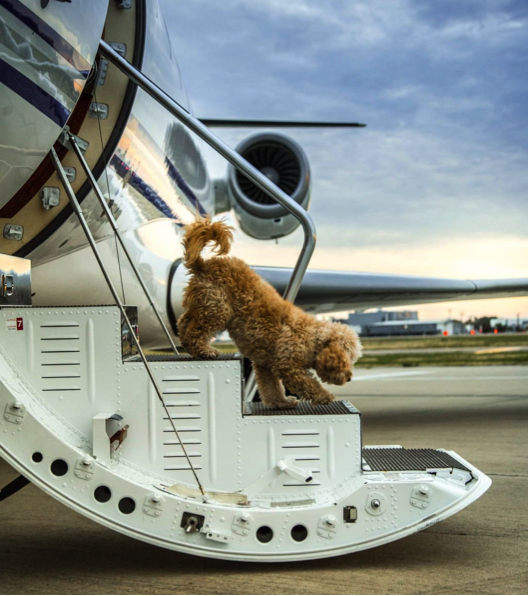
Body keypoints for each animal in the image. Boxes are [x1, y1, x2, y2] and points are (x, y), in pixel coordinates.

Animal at [177, 219, 364, 410]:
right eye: (349, 358)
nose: (349, 377)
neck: (311, 338)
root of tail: (204, 265)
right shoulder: (287, 366)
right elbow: (307, 384)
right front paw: (324, 396)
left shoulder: (264, 365)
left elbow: (271, 387)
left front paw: (280, 402)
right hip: (218, 309)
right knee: (195, 332)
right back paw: (205, 350)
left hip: (203, 305)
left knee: (183, 322)